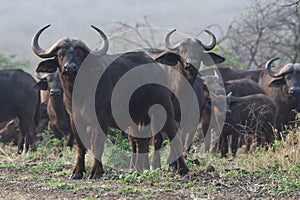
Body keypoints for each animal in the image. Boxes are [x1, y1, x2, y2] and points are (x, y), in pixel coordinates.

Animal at [32, 24, 195, 179]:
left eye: (80, 55)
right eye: (60, 55)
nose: (69, 67)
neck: (79, 93)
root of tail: (156, 66)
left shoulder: (102, 118)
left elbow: (97, 145)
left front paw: (96, 172)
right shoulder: (74, 119)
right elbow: (80, 146)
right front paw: (77, 172)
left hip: (164, 109)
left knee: (174, 135)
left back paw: (183, 170)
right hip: (139, 117)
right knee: (140, 141)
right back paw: (137, 169)